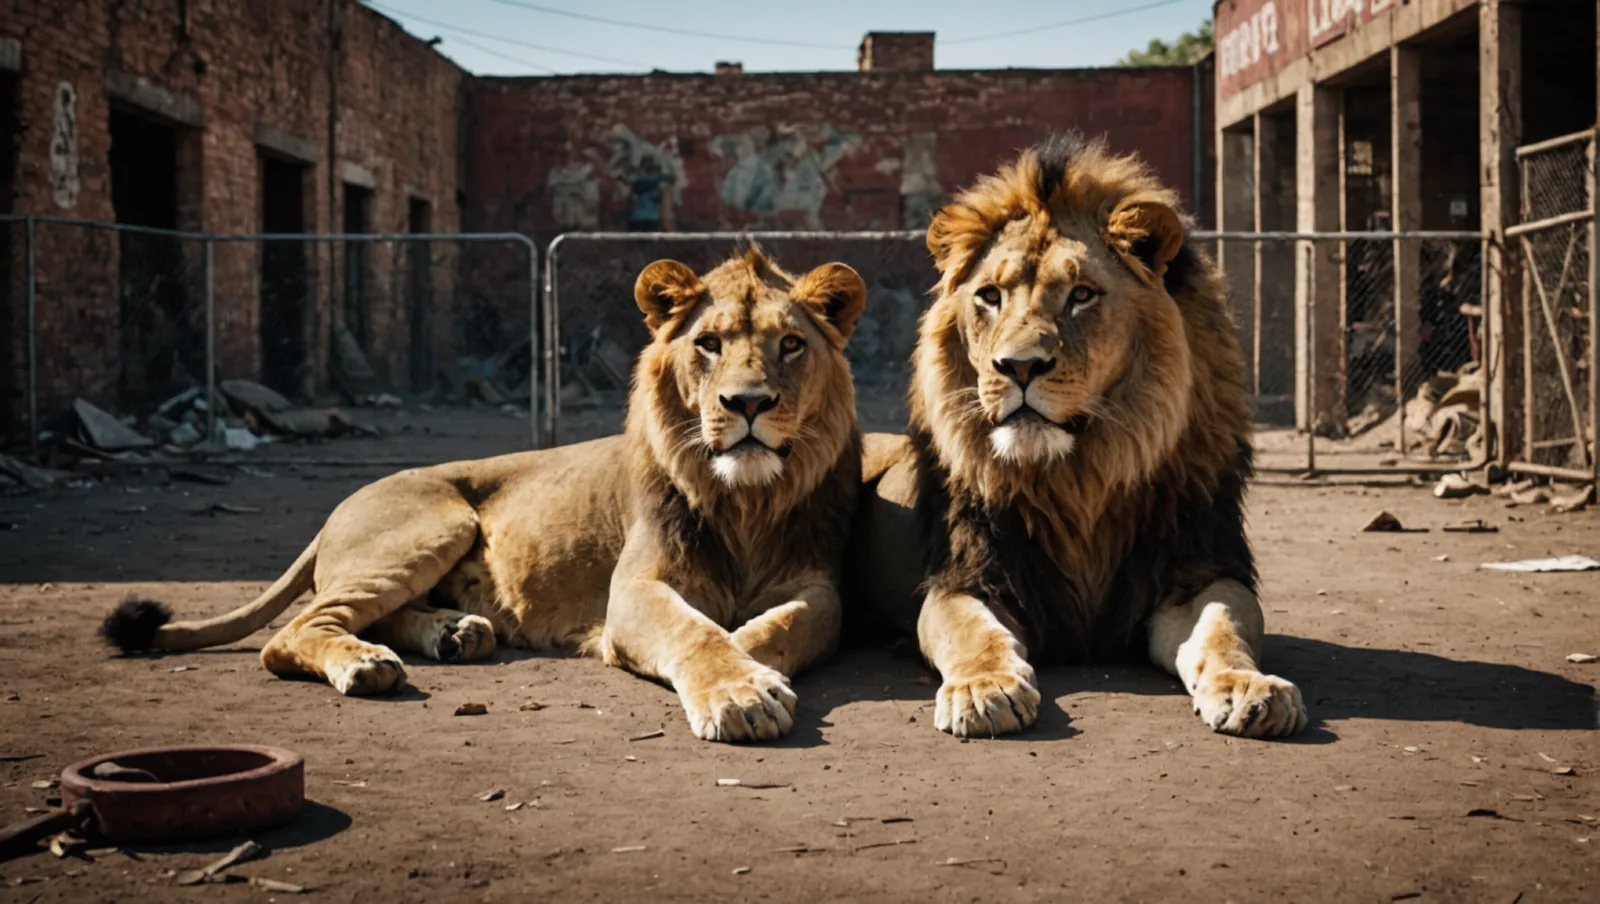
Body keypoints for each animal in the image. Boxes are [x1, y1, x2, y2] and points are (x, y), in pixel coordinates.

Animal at [102, 246, 867, 743]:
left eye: (791, 345)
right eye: (708, 343)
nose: (748, 403)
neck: (744, 503)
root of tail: (337, 510)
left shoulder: (818, 586)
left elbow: (774, 628)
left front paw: (751, 670)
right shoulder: (633, 589)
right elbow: (694, 630)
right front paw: (740, 691)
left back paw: (455, 634)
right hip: (434, 523)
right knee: (295, 631)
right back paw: (367, 664)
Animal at [846, 134, 1307, 739]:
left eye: (1082, 295)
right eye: (989, 296)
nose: (1018, 366)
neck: (1078, 478)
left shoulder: (1197, 568)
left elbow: (1224, 624)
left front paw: (1247, 685)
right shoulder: (969, 576)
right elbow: (975, 634)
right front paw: (983, 688)